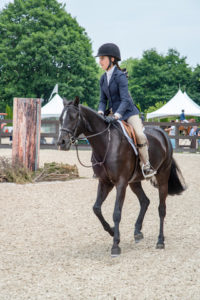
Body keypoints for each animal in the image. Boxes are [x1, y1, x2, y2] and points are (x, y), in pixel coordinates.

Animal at [57, 97, 186, 256]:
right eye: (60, 118)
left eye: (73, 117)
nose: (62, 142)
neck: (106, 143)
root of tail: (163, 133)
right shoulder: (105, 182)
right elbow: (96, 208)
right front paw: (112, 231)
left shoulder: (120, 183)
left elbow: (116, 212)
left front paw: (115, 245)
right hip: (134, 182)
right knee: (145, 201)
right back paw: (137, 232)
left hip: (162, 178)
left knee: (161, 209)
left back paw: (160, 241)